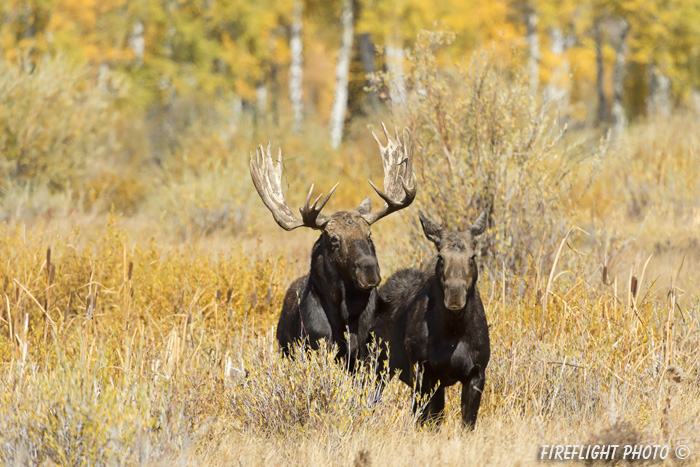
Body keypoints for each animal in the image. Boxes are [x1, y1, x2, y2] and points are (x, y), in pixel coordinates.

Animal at [370, 210, 490, 430]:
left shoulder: (477, 373)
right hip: (376, 364)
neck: (454, 331)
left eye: (472, 256)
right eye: (440, 256)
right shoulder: (422, 371)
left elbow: (466, 423)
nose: (454, 295)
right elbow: (424, 422)